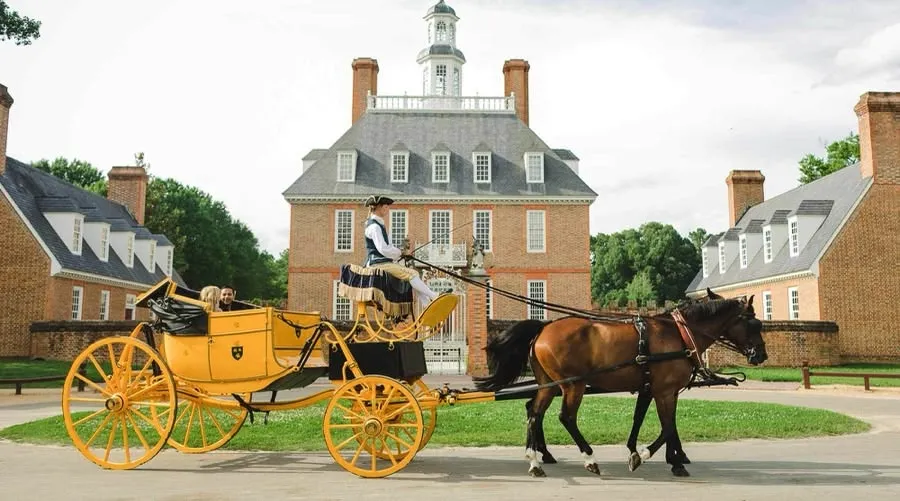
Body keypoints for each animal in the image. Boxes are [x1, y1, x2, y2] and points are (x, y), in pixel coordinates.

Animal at [472, 296, 768, 476]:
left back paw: (535, 460)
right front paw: (650, 456)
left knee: (534, 413)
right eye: (754, 322)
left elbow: (647, 421)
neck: (679, 334)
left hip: (549, 383)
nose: (761, 355)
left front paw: (658, 455)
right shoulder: (664, 391)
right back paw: (588, 458)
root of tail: (544, 328)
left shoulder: (650, 388)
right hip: (573, 385)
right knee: (565, 417)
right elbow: (668, 427)